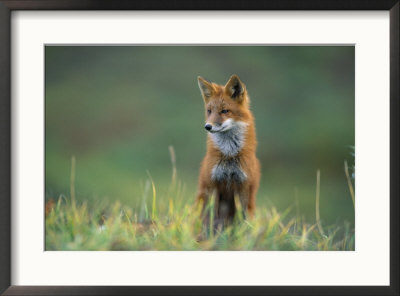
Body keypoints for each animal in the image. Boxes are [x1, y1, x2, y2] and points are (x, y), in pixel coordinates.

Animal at [196, 74, 260, 224]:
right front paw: (211, 231)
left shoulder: (243, 186)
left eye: (224, 111)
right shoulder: (213, 184)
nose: (207, 126)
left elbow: (242, 220)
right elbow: (212, 218)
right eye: (209, 111)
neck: (229, 155)